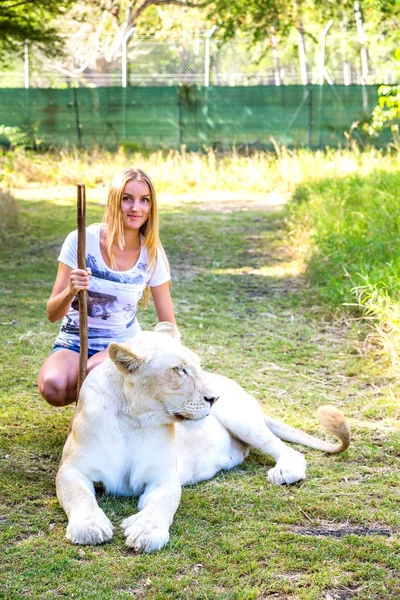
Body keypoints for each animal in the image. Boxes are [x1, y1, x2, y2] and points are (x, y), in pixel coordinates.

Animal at [56, 324, 350, 552]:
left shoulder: (164, 478)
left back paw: (285, 471)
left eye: (198, 367)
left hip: (242, 419)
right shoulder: (72, 469)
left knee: (288, 451)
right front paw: (89, 527)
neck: (134, 418)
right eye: (179, 370)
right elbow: (78, 495)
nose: (214, 397)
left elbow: (162, 504)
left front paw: (146, 531)